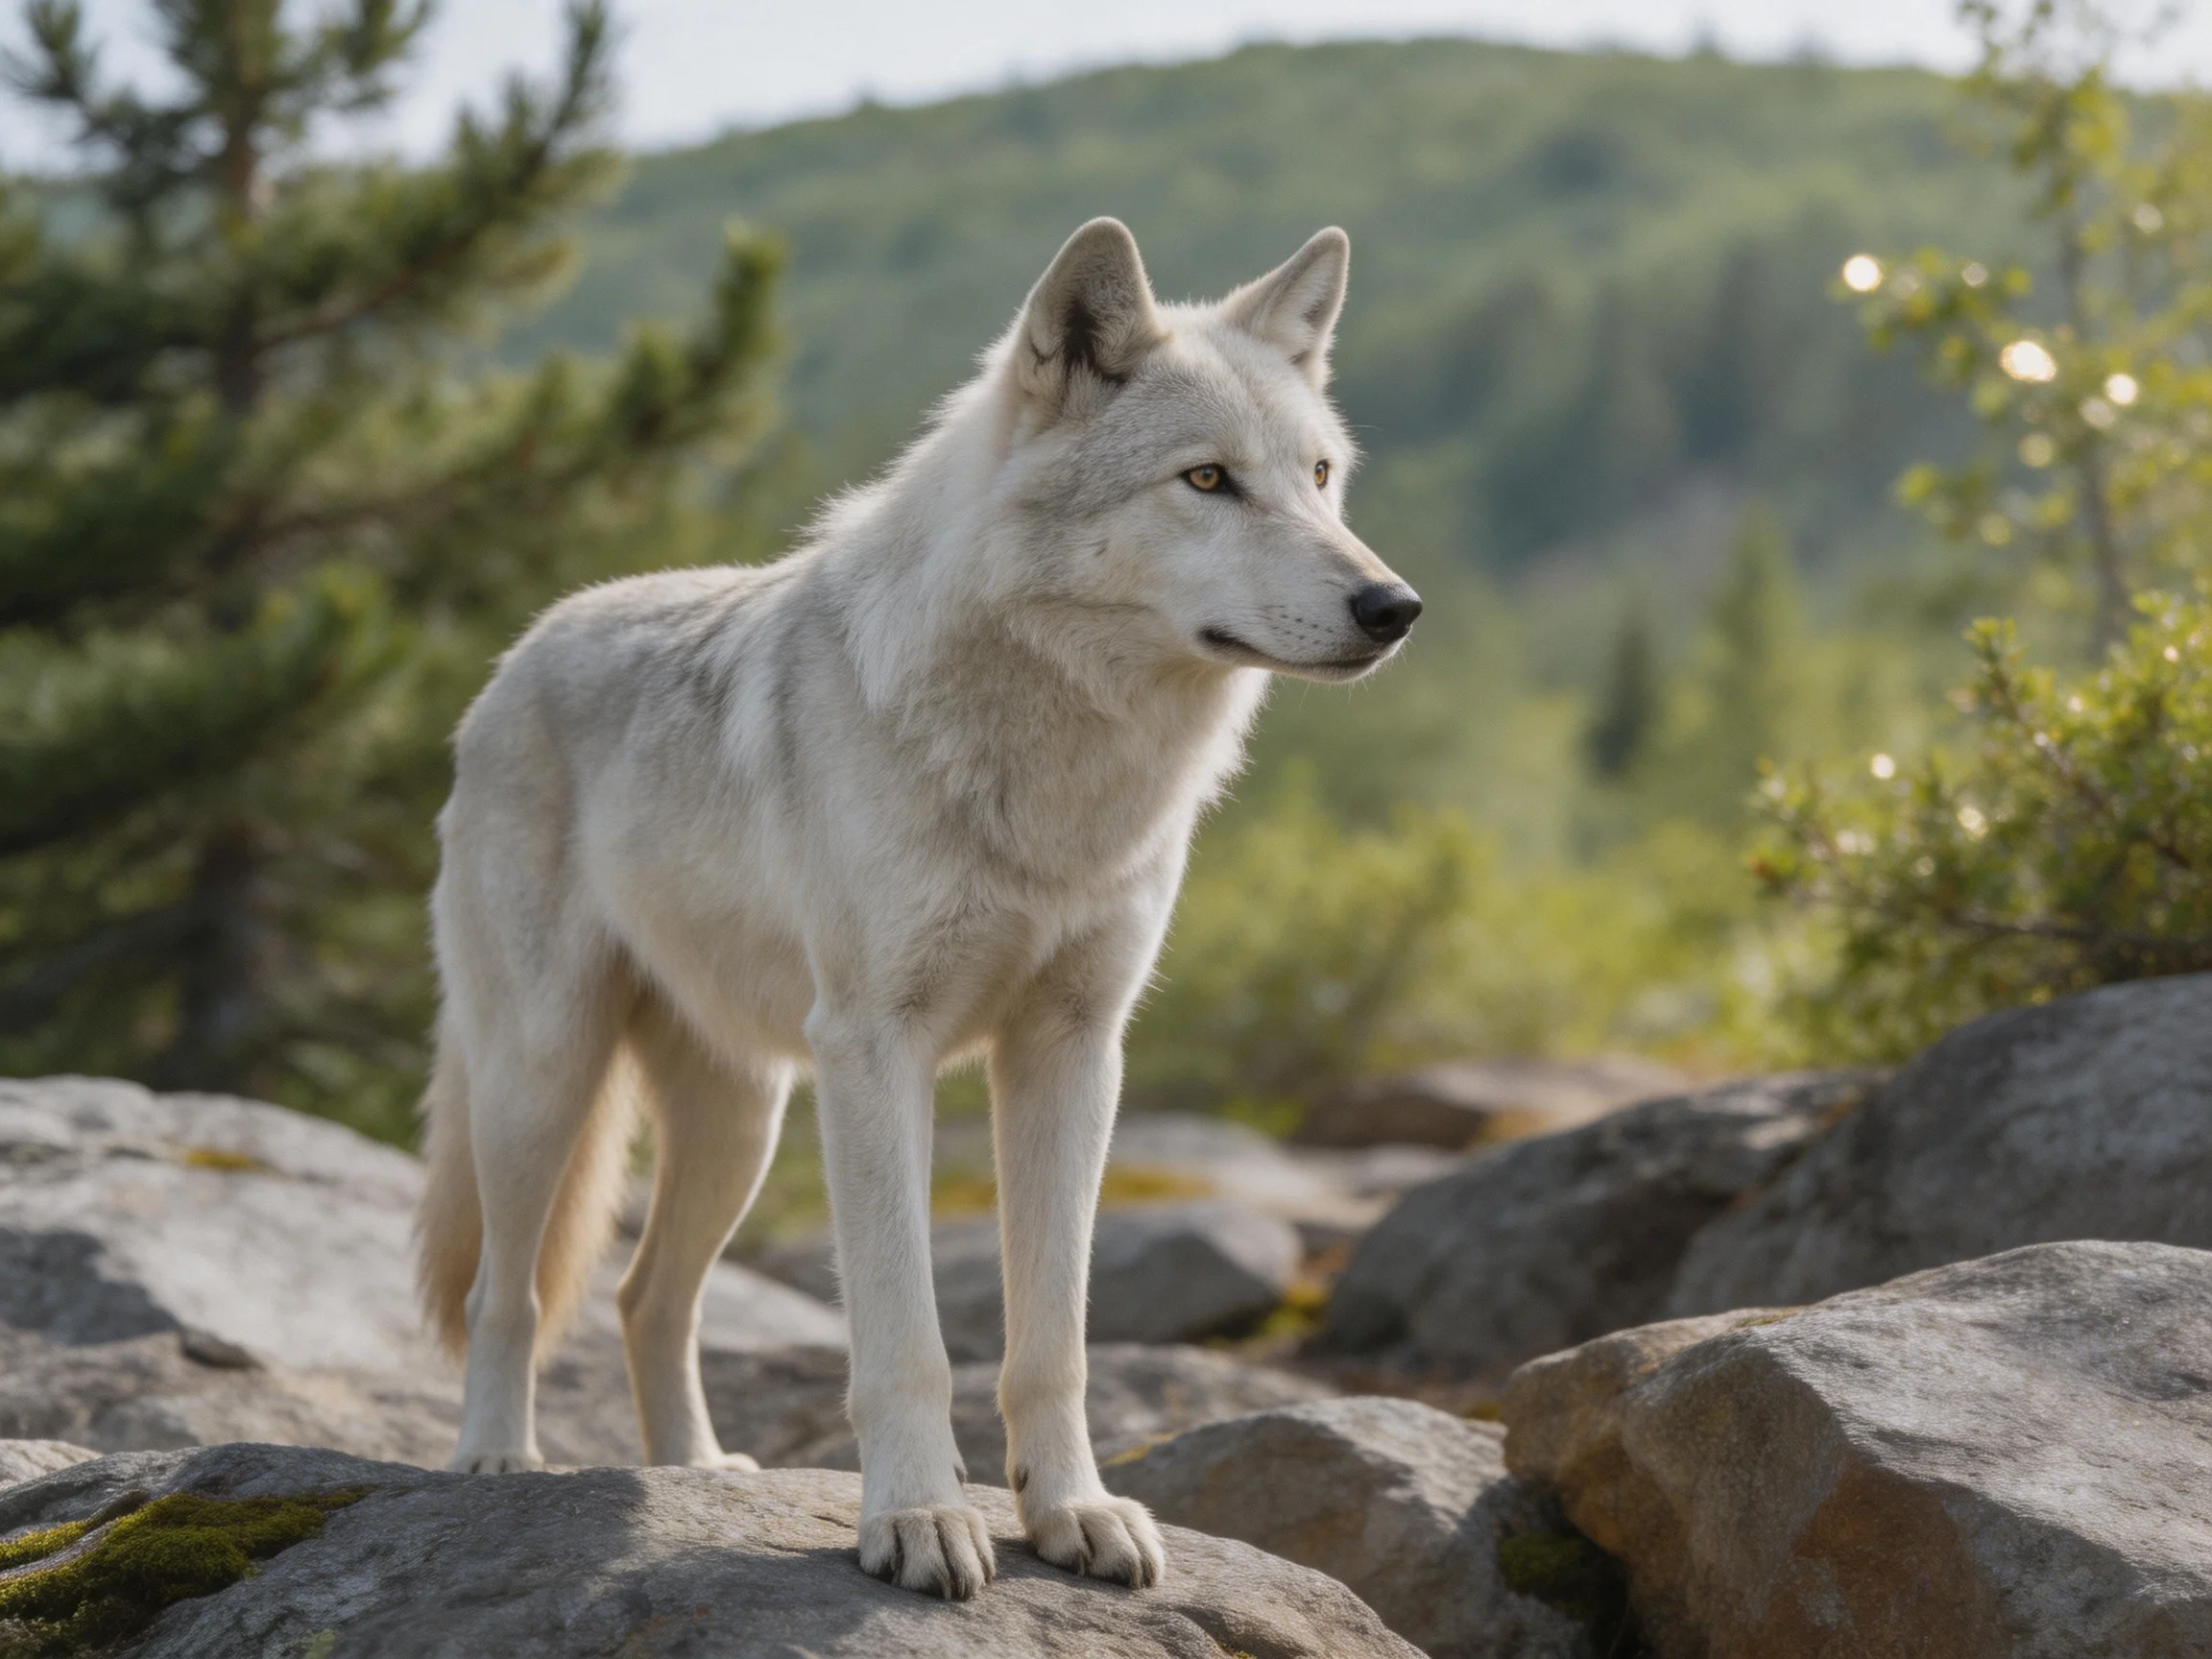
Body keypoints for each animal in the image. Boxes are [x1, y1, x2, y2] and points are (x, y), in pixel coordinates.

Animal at [415, 216, 1420, 1599]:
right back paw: (494, 1460)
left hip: (744, 1122)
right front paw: (917, 1521)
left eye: (1321, 477)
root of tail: (521, 649)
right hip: (547, 1083)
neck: (1057, 774)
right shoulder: (876, 1049)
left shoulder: (1073, 1052)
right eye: (1209, 480)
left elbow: (1051, 1337)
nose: (1395, 607)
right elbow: (907, 1339)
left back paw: (695, 1473)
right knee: (506, 1294)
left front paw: (1073, 1512)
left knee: (644, 1298)